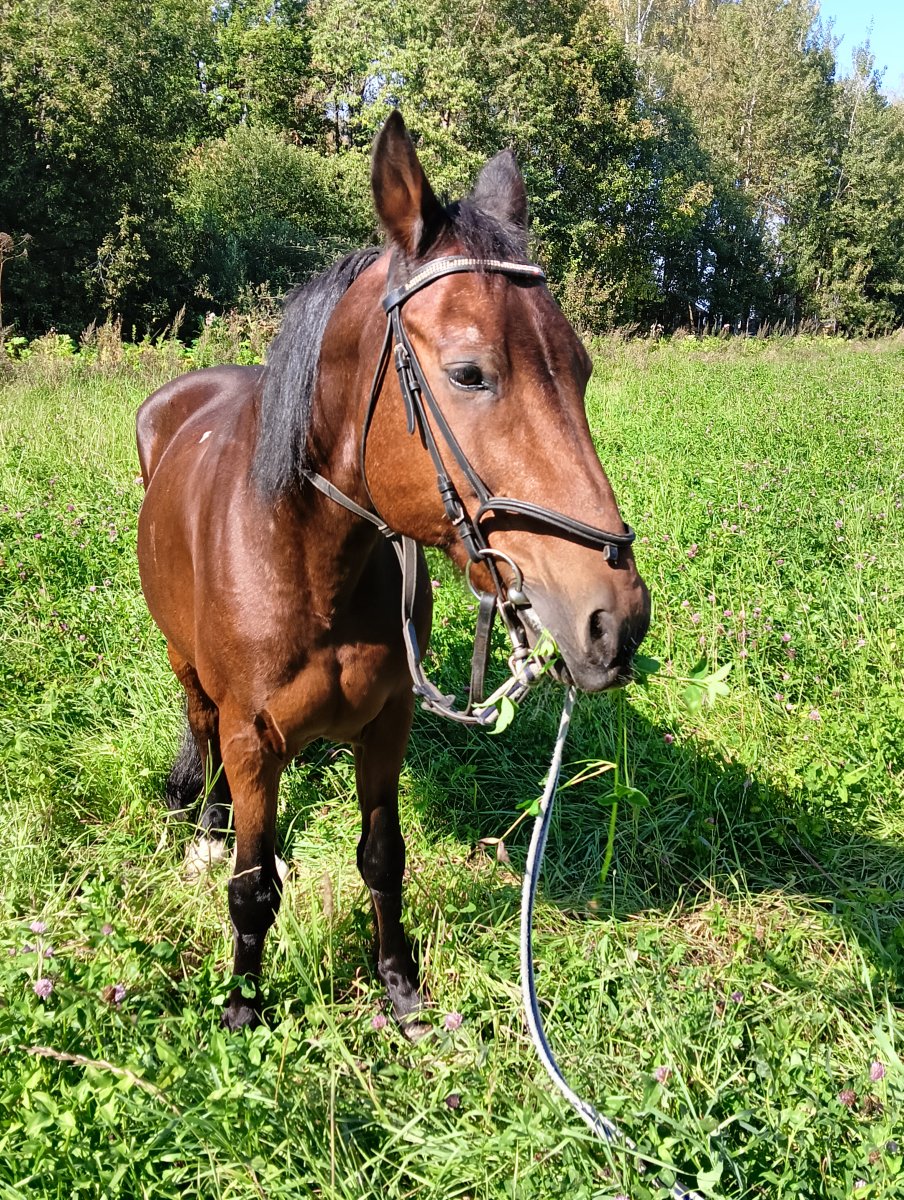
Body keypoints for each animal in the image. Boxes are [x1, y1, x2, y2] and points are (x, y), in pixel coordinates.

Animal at [136, 111, 650, 1033]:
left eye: (582, 369)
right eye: (469, 373)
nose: (615, 619)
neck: (311, 562)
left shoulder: (386, 726)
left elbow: (383, 857)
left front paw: (400, 985)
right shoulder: (253, 739)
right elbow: (251, 890)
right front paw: (242, 1011)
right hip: (184, 662)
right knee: (199, 727)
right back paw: (208, 825)